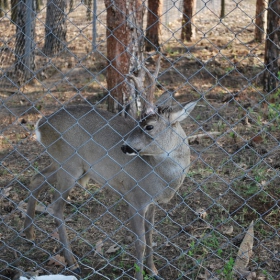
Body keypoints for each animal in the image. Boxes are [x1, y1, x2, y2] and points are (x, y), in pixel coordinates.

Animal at [23, 57, 197, 280]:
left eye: (149, 126)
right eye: (137, 122)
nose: (124, 146)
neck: (161, 177)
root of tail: (41, 125)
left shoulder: (152, 203)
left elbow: (151, 235)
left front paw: (153, 270)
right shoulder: (135, 198)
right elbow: (140, 242)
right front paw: (140, 274)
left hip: (67, 165)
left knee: (37, 178)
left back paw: (29, 234)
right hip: (68, 165)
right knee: (55, 206)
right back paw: (72, 262)